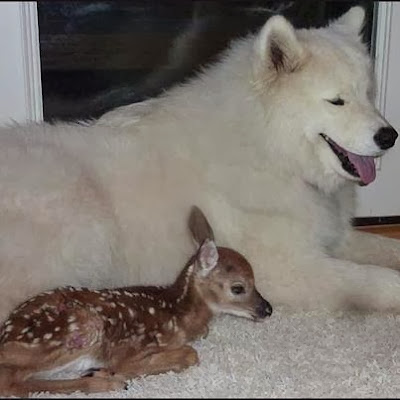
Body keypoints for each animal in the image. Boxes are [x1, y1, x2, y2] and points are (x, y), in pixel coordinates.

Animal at [0, 6, 399, 322]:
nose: (389, 136)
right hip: (86, 222)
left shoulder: (333, 239)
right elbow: (372, 279)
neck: (267, 149)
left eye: (368, 94)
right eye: (337, 102)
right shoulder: (288, 266)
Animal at [0, 206, 272, 396]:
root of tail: (6, 332)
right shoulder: (132, 348)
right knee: (9, 384)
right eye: (238, 288)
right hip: (77, 329)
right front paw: (110, 371)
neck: (178, 313)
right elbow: (189, 354)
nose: (267, 309)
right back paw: (105, 382)